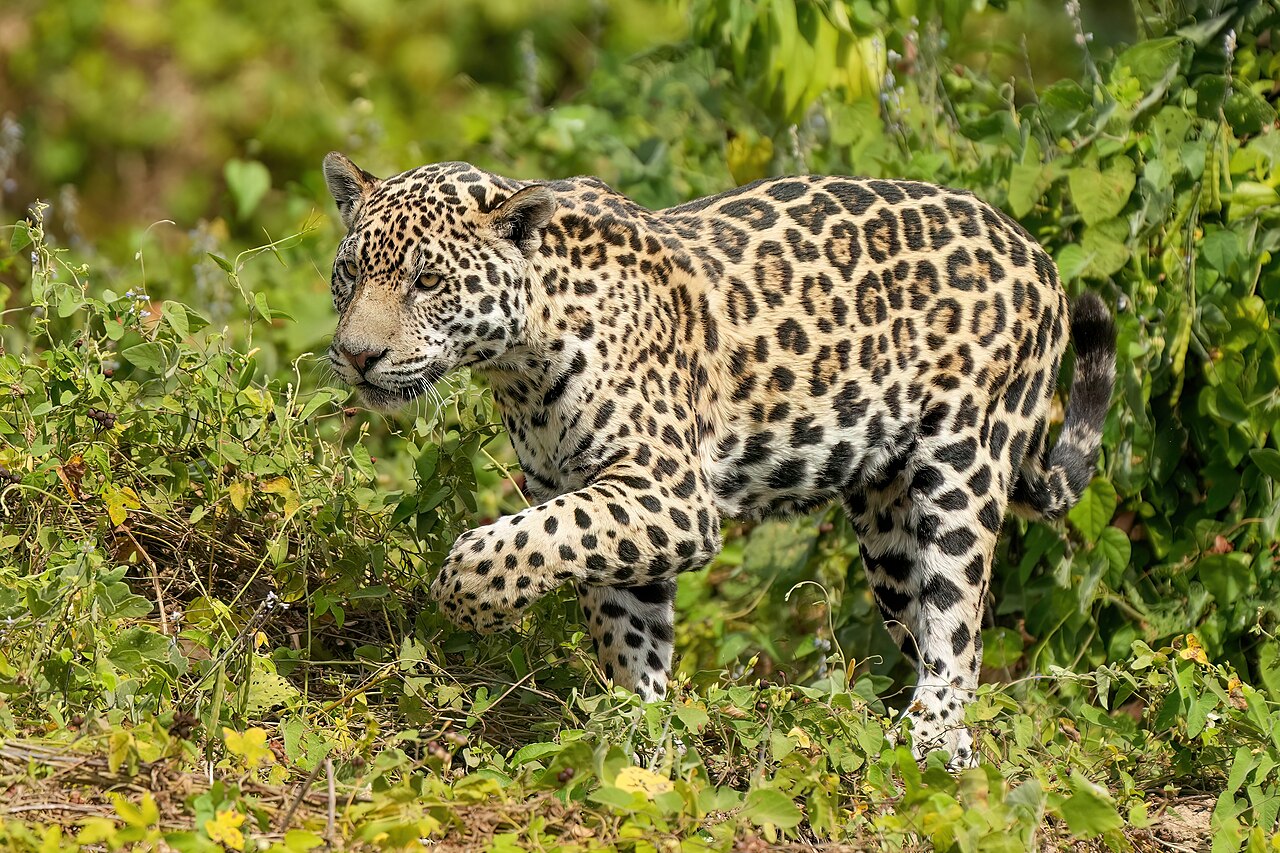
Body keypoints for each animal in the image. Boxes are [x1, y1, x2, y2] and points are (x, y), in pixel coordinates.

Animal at [321, 151, 1116, 767]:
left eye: (428, 281)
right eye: (351, 273)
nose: (357, 356)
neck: (520, 363)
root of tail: (1036, 250)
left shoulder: (670, 494)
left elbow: (519, 541)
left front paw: (467, 597)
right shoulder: (598, 497)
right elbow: (623, 630)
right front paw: (644, 749)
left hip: (962, 466)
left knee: (957, 625)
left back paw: (920, 740)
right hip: (890, 527)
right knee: (939, 634)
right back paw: (948, 764)